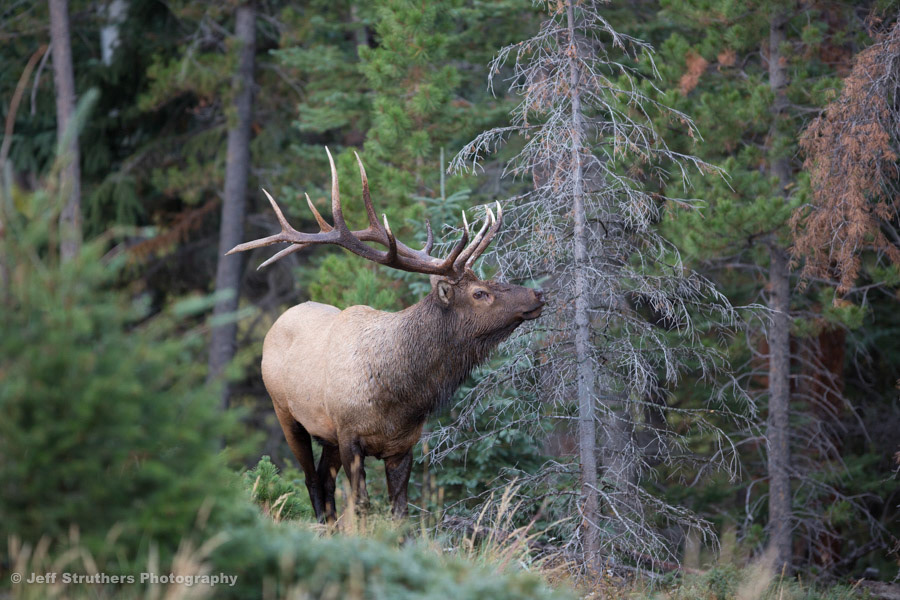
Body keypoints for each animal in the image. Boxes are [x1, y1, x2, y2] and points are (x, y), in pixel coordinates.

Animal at [227, 148, 545, 522]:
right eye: (480, 293)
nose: (537, 294)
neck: (400, 399)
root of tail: (279, 321)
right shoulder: (349, 435)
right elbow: (363, 506)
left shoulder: (402, 445)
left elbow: (400, 512)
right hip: (286, 413)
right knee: (311, 481)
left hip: (327, 435)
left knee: (325, 481)